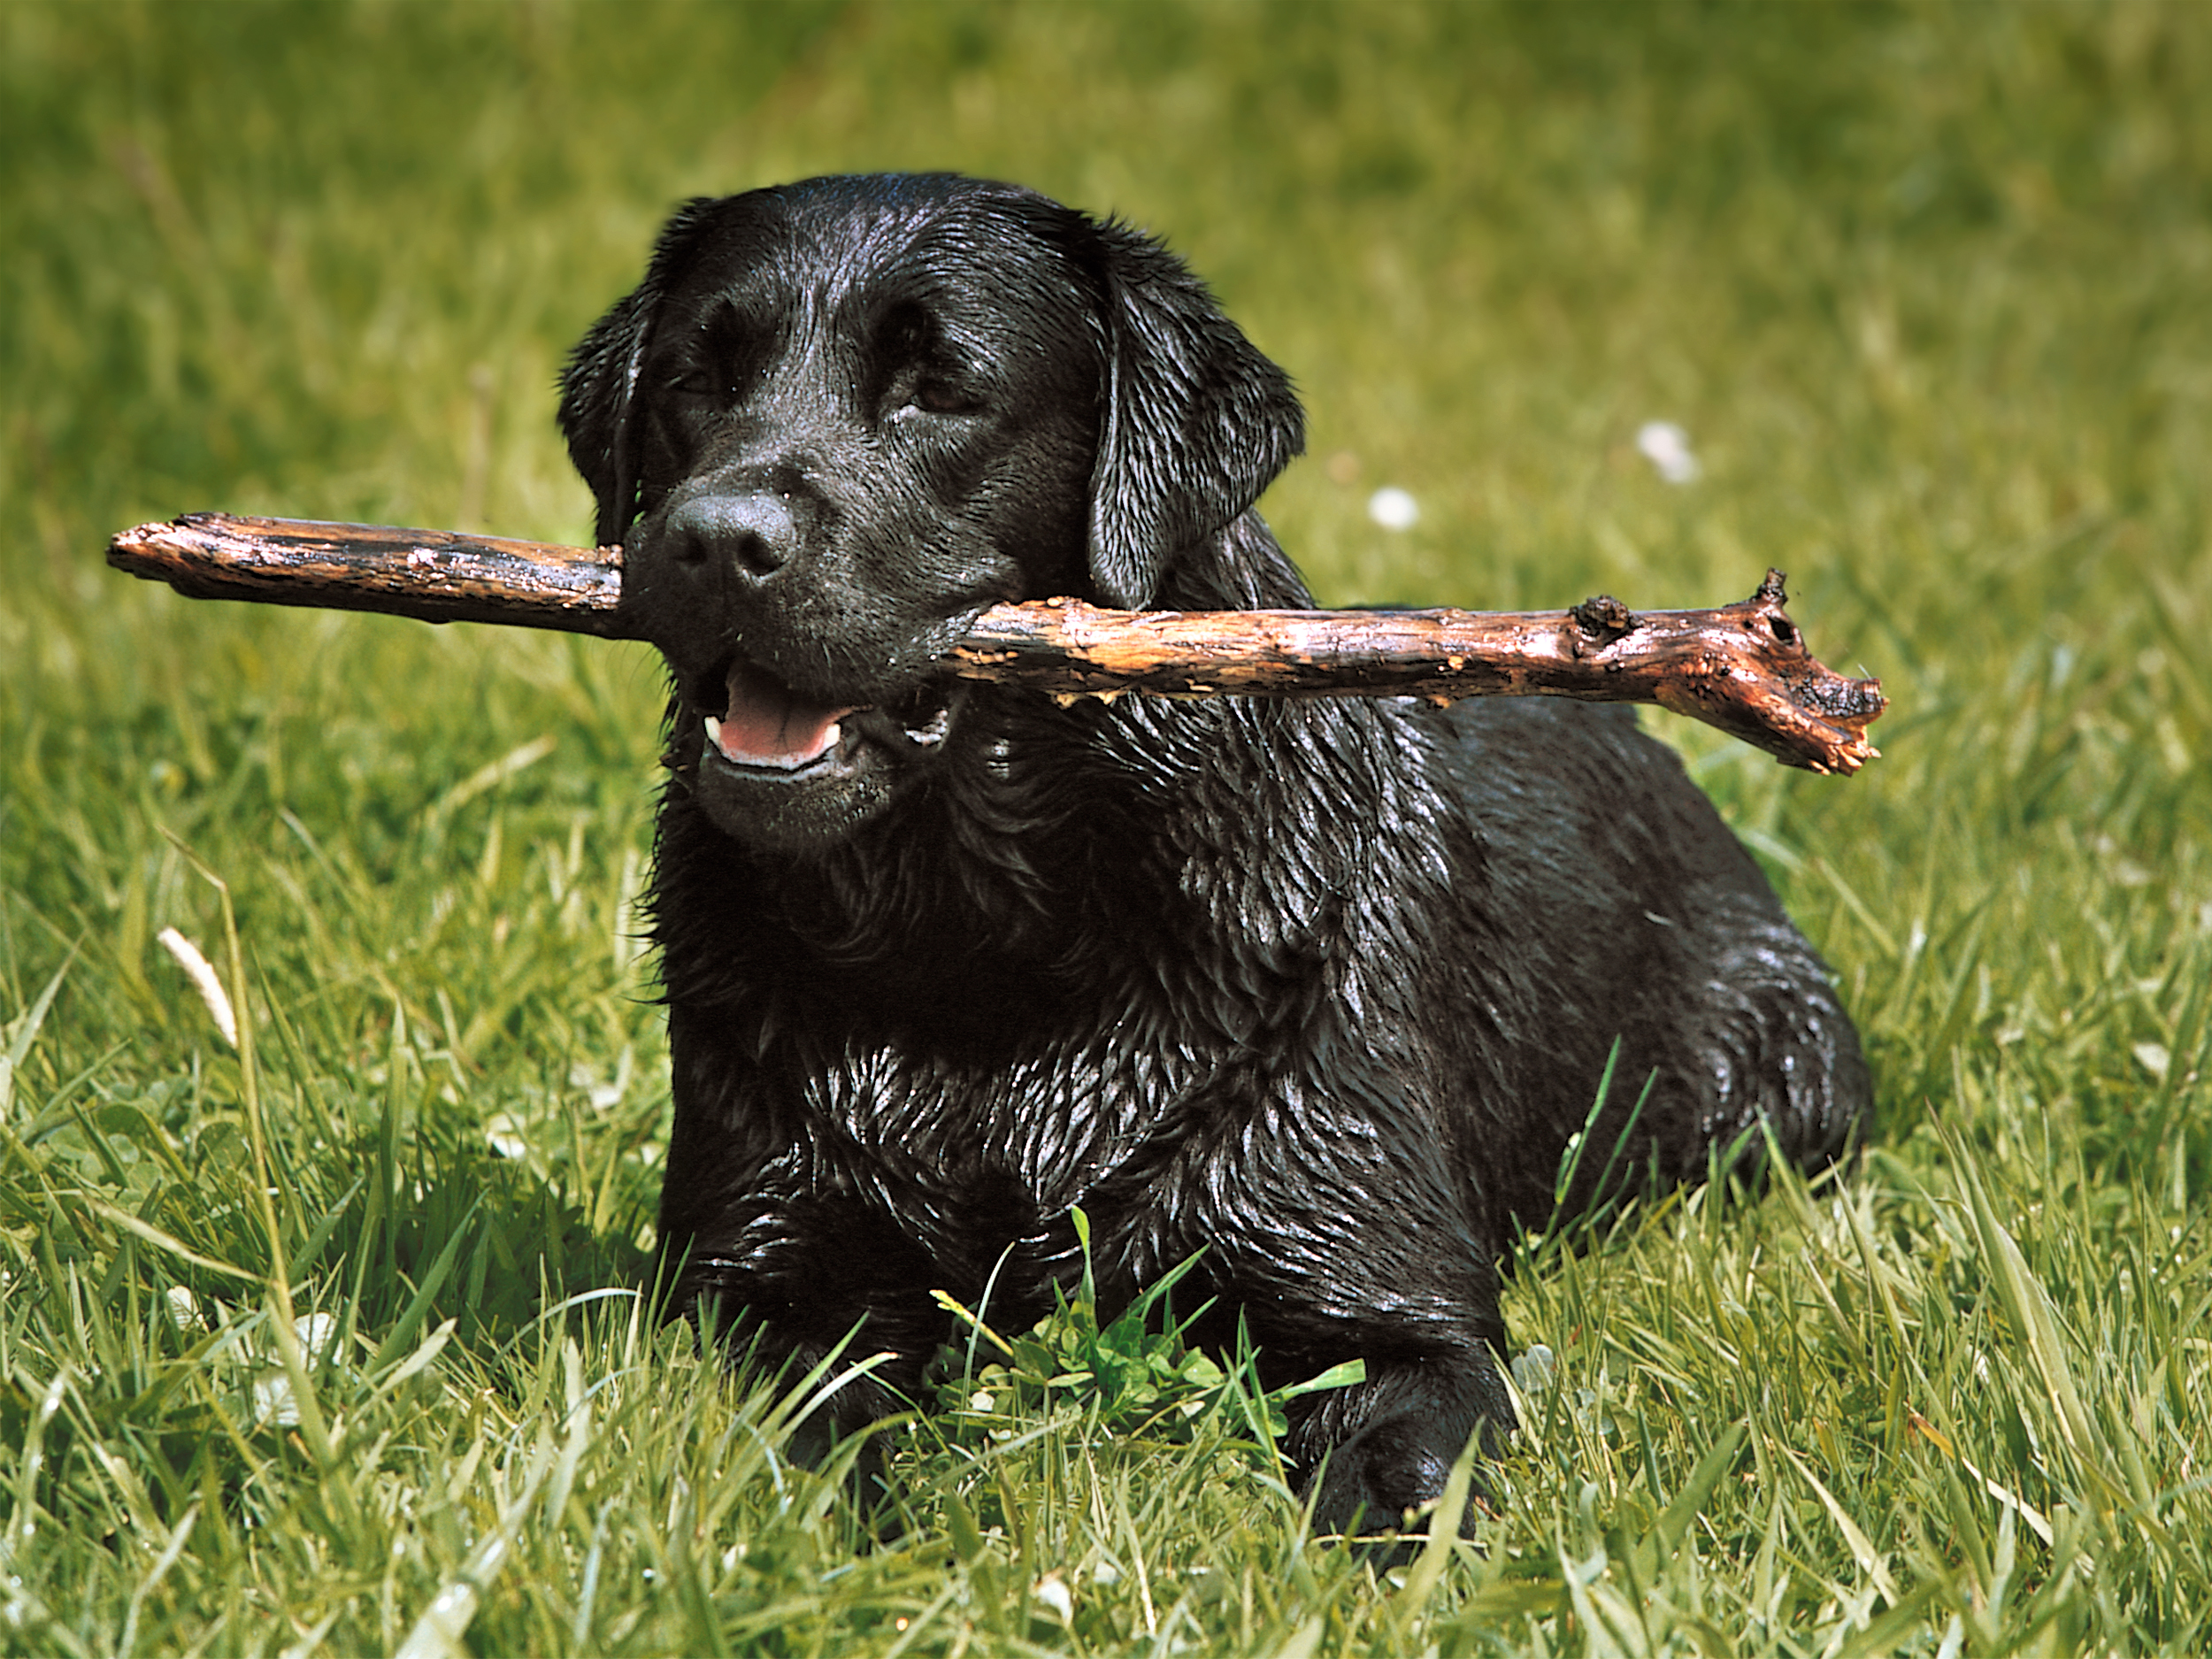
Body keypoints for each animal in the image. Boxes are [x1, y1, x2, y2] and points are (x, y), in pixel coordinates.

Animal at [557, 175, 1867, 1540]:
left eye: (941, 387)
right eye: (697, 378)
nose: (714, 539)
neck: (984, 941)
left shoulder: (1395, 1307)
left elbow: (1398, 1486)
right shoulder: (757, 1277)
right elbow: (809, 1446)